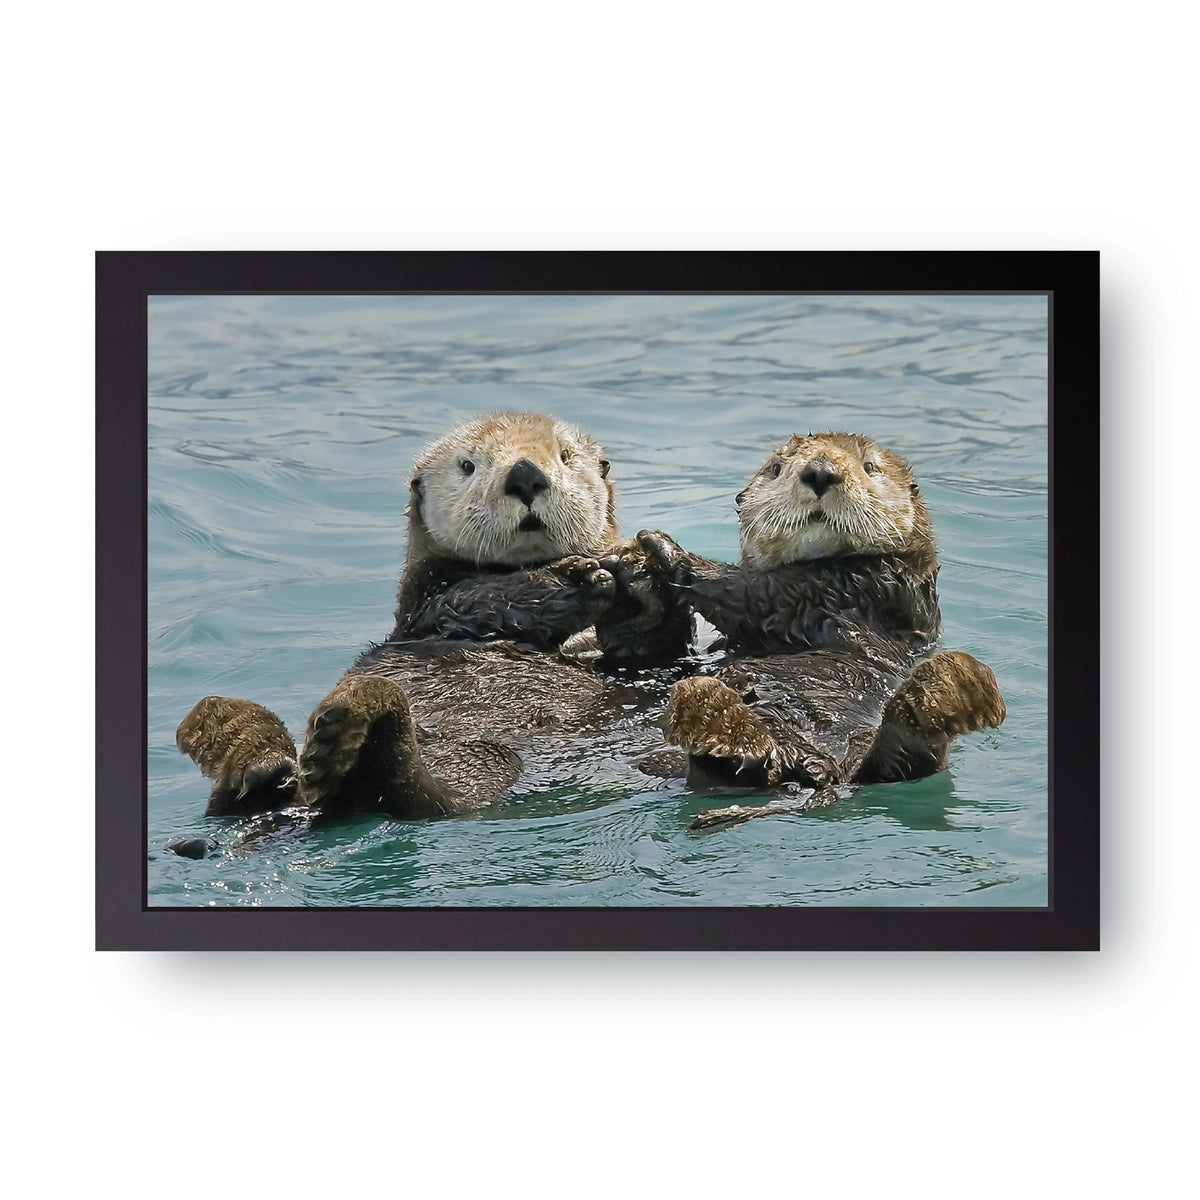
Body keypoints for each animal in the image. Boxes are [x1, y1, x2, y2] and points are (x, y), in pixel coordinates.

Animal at [175, 412, 689, 830]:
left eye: (565, 456)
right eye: (468, 466)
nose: (525, 475)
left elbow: (646, 646)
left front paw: (639, 575)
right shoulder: (428, 601)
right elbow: (479, 600)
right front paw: (577, 579)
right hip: (471, 753)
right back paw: (315, 749)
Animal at [631, 432, 1006, 826]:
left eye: (869, 466)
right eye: (777, 468)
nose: (821, 472)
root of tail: (822, 773)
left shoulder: (852, 590)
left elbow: (749, 590)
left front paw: (660, 546)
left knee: (905, 765)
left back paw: (948, 693)